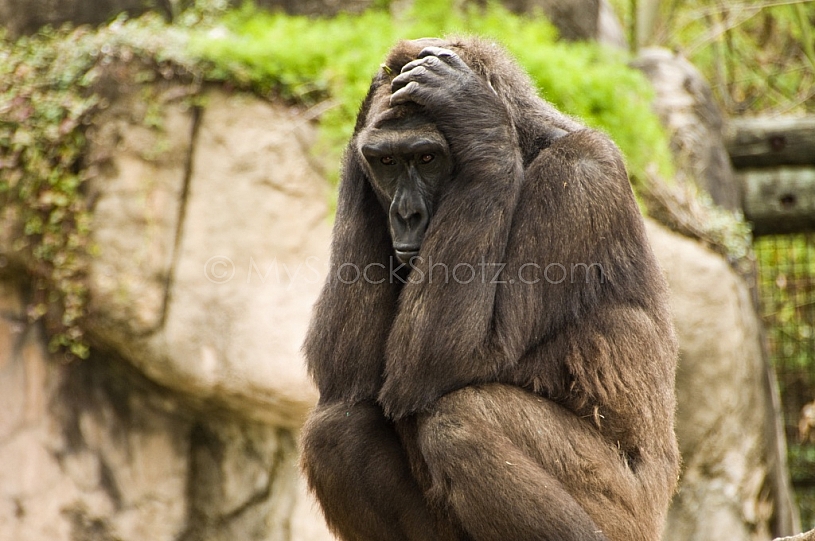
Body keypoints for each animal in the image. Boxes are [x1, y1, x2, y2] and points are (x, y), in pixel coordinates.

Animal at [301, 36, 680, 541]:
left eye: (427, 158)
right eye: (386, 162)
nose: (405, 215)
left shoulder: (579, 175)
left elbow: (456, 356)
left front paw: (479, 125)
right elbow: (343, 372)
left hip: (630, 521)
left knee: (462, 420)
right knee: (338, 427)